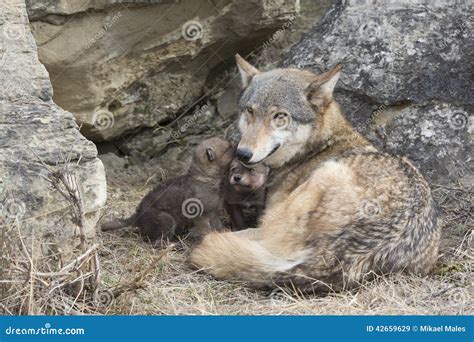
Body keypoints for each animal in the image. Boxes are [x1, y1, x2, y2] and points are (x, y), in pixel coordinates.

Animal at [190, 55, 440, 292]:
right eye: (250, 111)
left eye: (280, 116)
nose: (242, 153)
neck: (319, 146)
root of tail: (340, 256)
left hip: (315, 184)